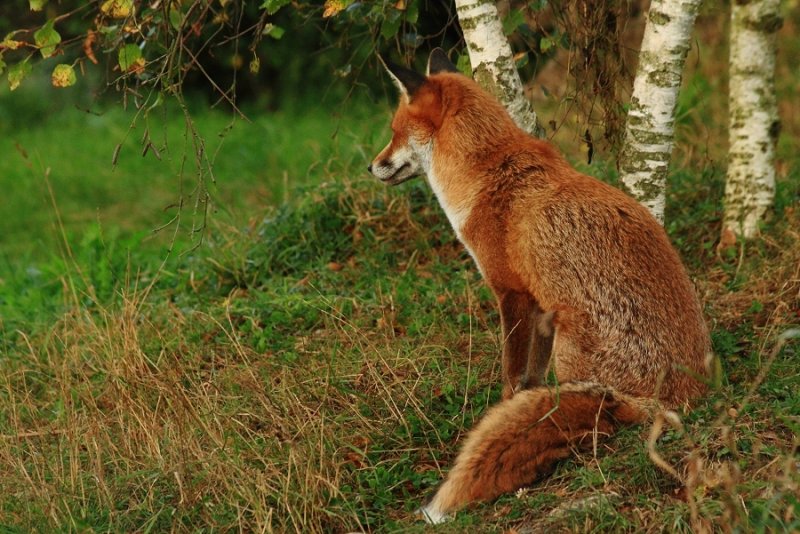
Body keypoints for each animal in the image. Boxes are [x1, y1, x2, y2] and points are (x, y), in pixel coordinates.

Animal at [368, 48, 712, 524]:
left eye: (394, 132)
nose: (371, 166)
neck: (486, 175)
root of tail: (675, 396)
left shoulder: (511, 292)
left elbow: (513, 374)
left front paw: (499, 409)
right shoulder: (540, 306)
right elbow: (532, 375)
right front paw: (516, 404)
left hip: (575, 350)